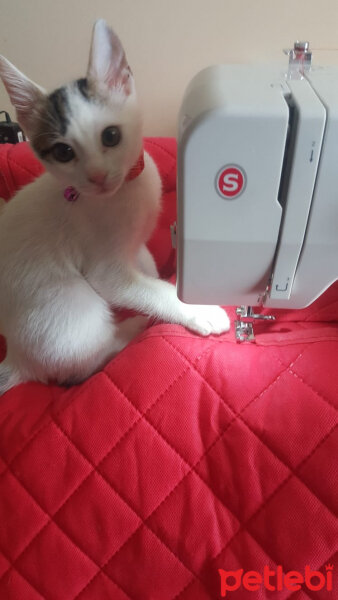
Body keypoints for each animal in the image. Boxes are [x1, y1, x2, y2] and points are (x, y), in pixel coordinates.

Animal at [0, 19, 230, 394]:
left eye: (110, 136)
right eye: (63, 152)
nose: (96, 176)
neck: (123, 191)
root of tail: (18, 357)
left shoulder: (135, 244)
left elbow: (146, 268)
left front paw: (159, 274)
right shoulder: (104, 271)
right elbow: (148, 290)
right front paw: (196, 308)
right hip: (71, 305)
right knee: (86, 360)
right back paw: (132, 329)